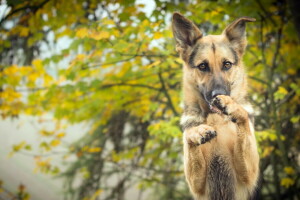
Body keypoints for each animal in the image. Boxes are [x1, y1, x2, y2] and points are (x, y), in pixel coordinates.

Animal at [171, 12, 260, 200]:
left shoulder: (248, 173)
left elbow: (243, 119)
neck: (216, 119)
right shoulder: (196, 183)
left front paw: (232, 106)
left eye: (227, 64)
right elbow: (189, 136)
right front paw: (197, 132)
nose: (217, 94)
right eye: (203, 66)